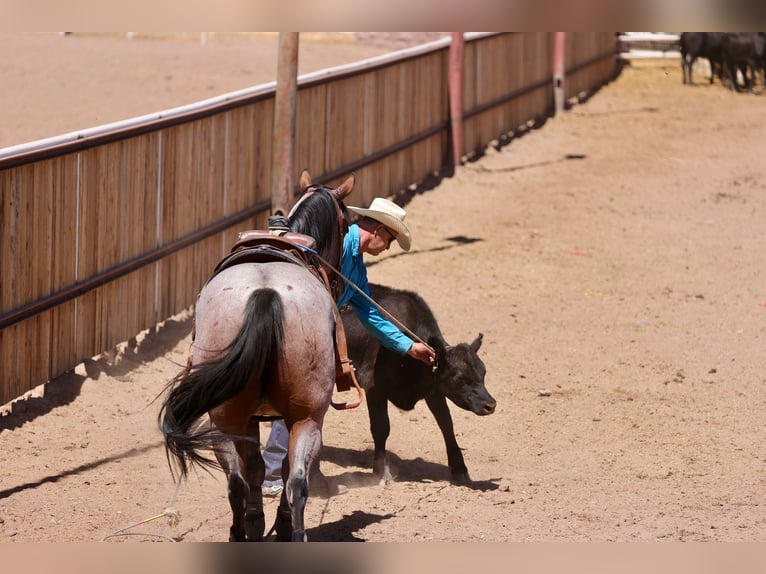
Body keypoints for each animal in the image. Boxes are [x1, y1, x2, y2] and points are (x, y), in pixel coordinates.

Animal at [158, 170, 354, 542]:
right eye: (347, 222)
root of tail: (266, 292)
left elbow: (256, 469)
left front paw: (257, 520)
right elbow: (266, 468)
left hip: (231, 419)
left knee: (243, 482)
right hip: (304, 419)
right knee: (292, 480)